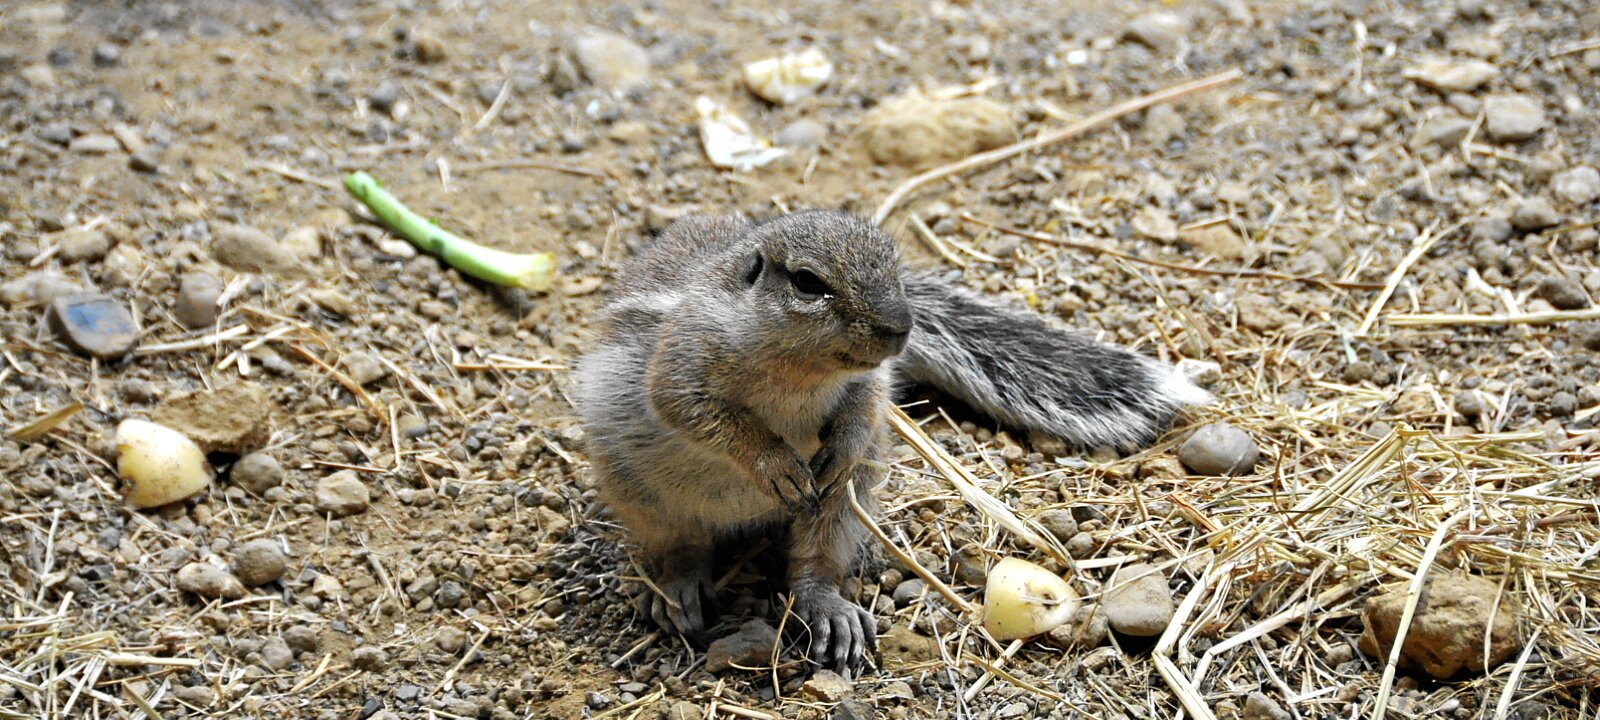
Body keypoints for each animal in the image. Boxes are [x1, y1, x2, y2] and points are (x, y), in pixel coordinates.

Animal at [573, 210, 1208, 675]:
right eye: (807, 283)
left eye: (893, 265)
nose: (901, 325)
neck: (799, 373)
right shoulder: (681, 359)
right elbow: (694, 411)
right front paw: (775, 463)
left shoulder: (869, 381)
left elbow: (868, 404)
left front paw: (842, 443)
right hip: (641, 496)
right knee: (677, 546)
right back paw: (677, 587)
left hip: (844, 506)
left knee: (815, 562)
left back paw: (829, 609)